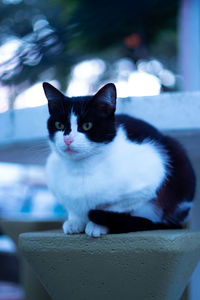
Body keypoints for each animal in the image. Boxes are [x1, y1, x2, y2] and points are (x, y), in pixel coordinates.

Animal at [42, 81, 195, 237]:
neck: (80, 169)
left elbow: (114, 206)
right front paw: (75, 221)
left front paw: (98, 224)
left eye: (87, 125)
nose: (67, 140)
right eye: (59, 125)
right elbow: (73, 207)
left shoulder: (148, 181)